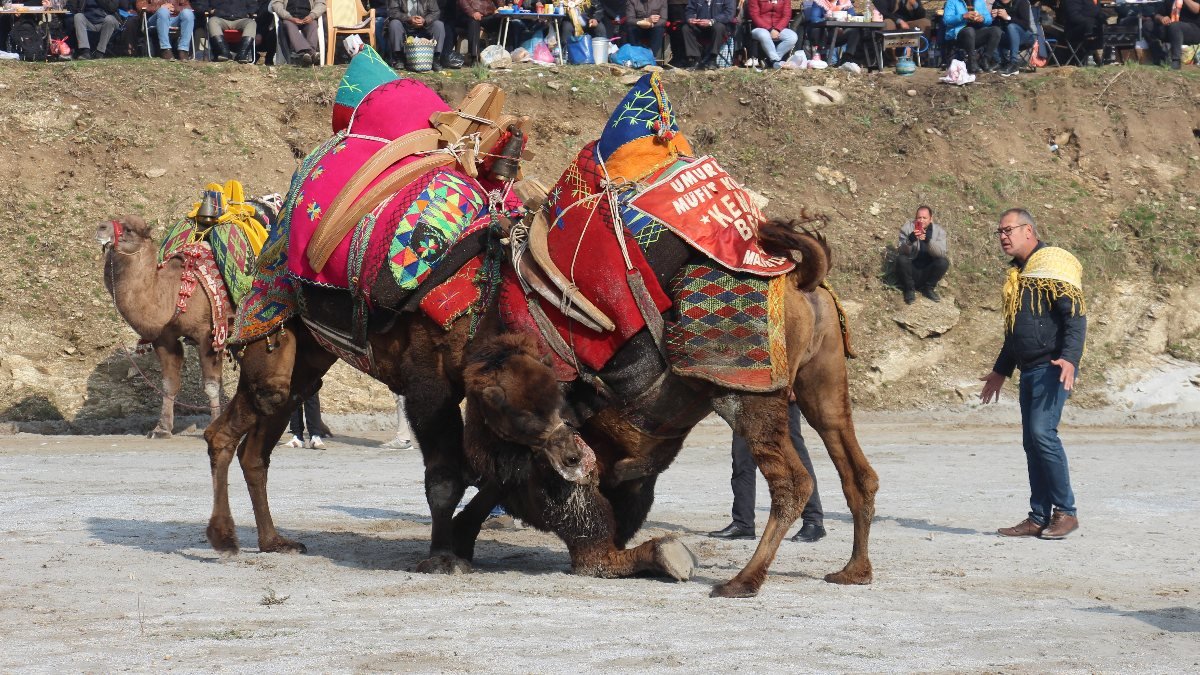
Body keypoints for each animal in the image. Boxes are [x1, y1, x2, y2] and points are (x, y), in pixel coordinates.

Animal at [96, 214, 226, 437]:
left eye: (129, 229)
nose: (101, 227)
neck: (175, 292)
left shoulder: (209, 333)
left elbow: (211, 385)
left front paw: (215, 425)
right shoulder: (165, 337)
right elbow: (169, 384)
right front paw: (161, 429)